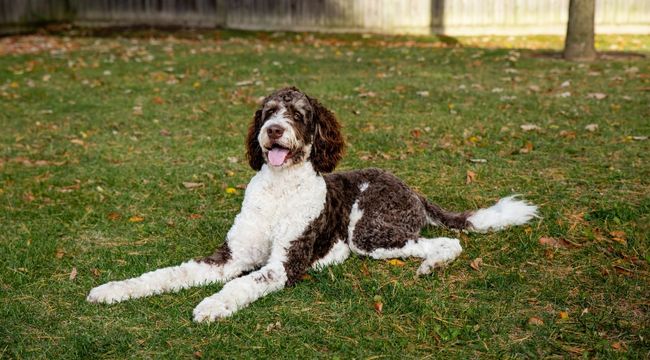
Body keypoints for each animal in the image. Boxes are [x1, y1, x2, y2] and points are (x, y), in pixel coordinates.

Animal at [87, 86, 536, 320]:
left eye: (299, 115)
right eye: (268, 111)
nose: (272, 130)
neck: (278, 190)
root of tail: (410, 188)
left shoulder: (284, 264)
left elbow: (243, 283)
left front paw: (214, 303)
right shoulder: (230, 256)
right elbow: (167, 274)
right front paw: (115, 289)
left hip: (368, 233)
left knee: (445, 242)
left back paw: (429, 265)